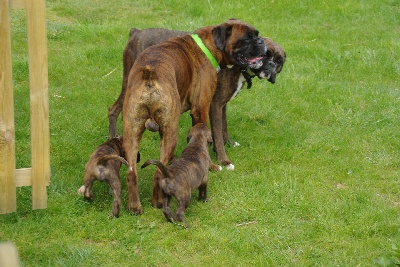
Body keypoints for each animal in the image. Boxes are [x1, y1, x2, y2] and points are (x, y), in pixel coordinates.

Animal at [108, 28, 286, 171]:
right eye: (265, 55)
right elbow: (217, 133)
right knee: (113, 109)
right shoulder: (214, 105)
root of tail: (136, 32)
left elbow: (223, 126)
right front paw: (224, 160)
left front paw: (228, 143)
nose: (270, 66)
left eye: (279, 61)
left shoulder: (222, 104)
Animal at [122, 18, 266, 215]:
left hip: (132, 134)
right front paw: (215, 165)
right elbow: (207, 140)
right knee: (158, 170)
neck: (207, 46)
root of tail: (149, 75)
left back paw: (135, 207)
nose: (261, 41)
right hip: (170, 132)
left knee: (132, 173)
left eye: (256, 35)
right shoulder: (202, 108)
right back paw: (157, 202)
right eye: (247, 38)